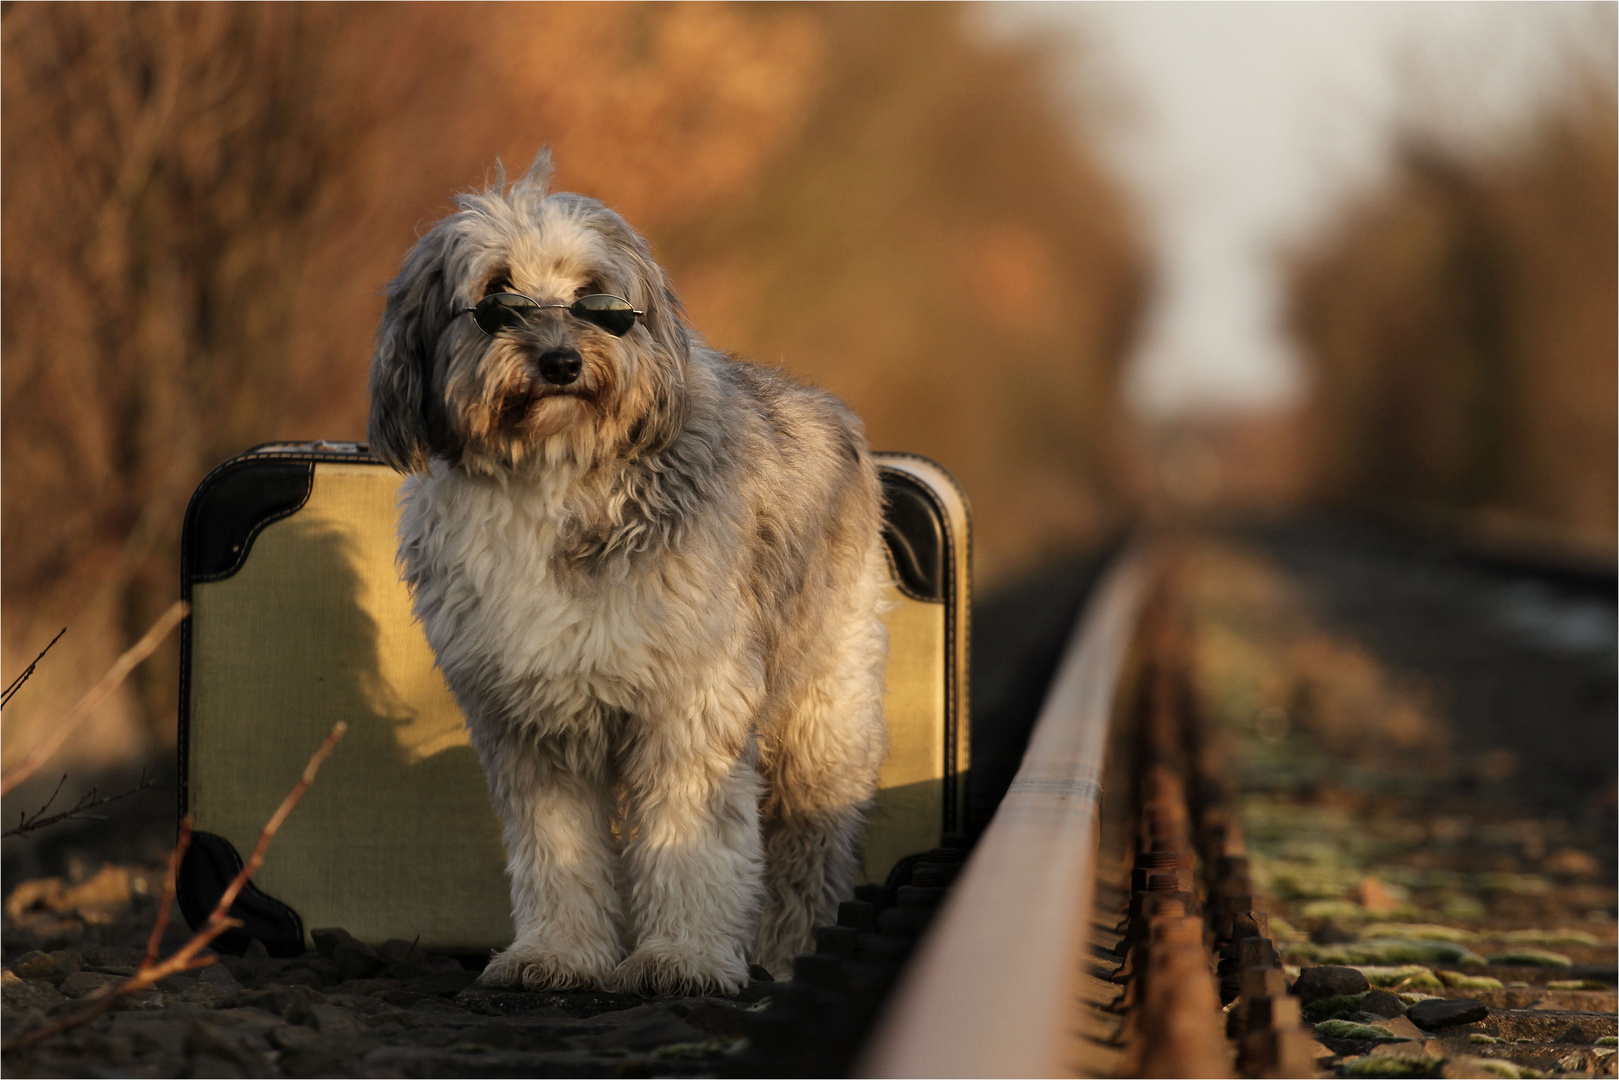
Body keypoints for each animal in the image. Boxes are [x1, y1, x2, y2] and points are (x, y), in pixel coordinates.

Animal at [370, 153, 887, 997]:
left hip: (821, 714)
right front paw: (559, 954)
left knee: (808, 854)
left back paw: (788, 953)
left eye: (596, 297)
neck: (553, 479)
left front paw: (681, 958)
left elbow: (690, 840)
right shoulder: (528, 721)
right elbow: (558, 851)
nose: (560, 362)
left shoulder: (691, 699)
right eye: (496, 297)